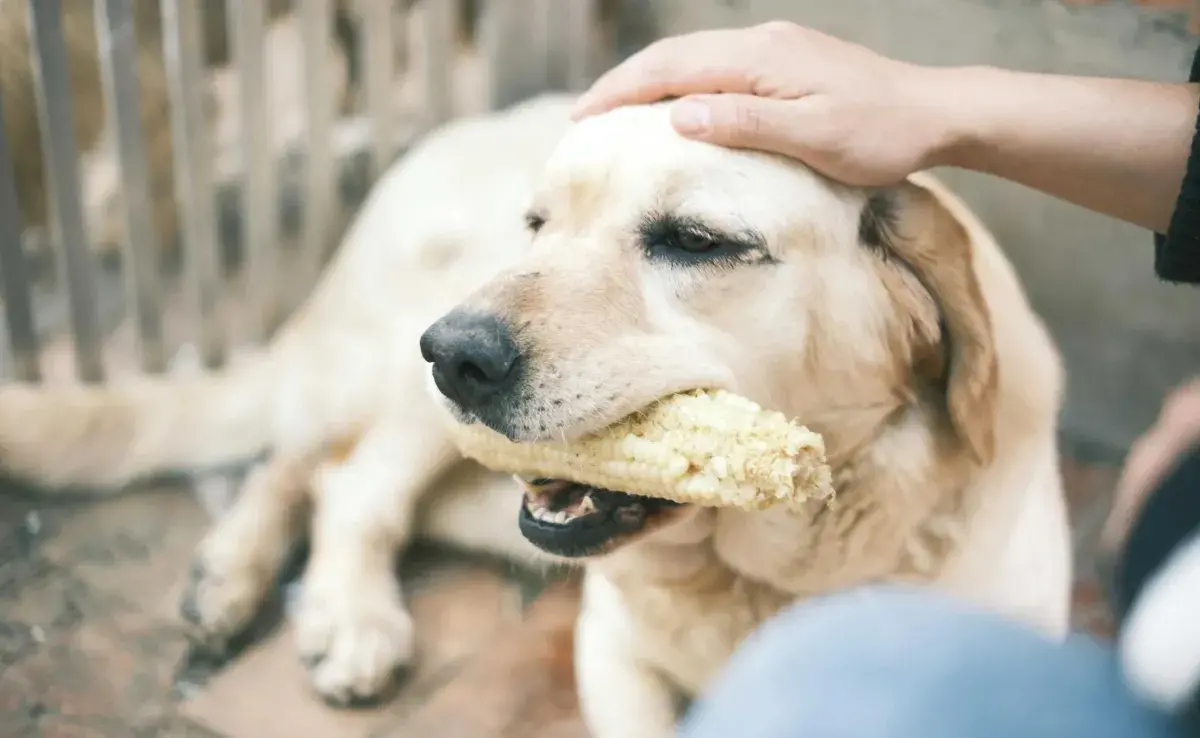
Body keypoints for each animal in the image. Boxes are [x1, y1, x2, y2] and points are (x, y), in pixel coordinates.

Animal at [0, 91, 1070, 729]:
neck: (764, 578)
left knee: (307, 462)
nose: (455, 357)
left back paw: (232, 573)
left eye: (697, 240)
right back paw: (341, 613)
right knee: (348, 479)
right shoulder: (613, 654)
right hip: (411, 371)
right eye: (539, 224)